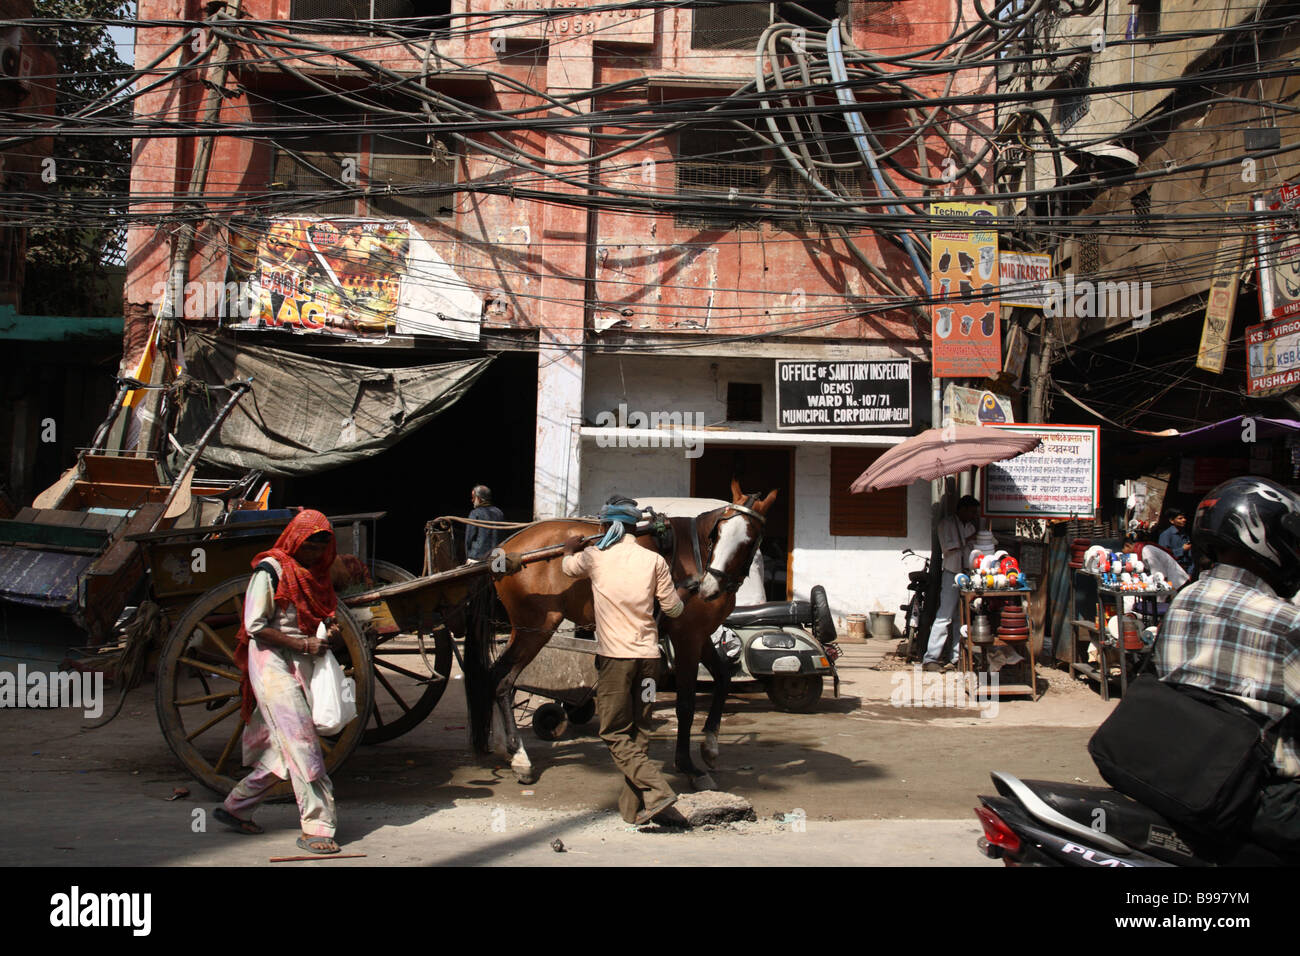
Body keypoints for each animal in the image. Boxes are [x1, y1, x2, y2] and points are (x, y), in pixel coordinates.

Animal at [465, 481, 774, 790]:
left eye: (749, 541)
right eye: (718, 532)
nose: (707, 587)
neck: (697, 553)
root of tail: (504, 550)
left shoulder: (699, 634)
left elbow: (722, 678)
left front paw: (709, 745)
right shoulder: (687, 636)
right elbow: (685, 704)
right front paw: (688, 766)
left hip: (527, 630)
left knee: (495, 676)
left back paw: (504, 746)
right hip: (535, 628)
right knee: (504, 681)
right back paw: (519, 757)